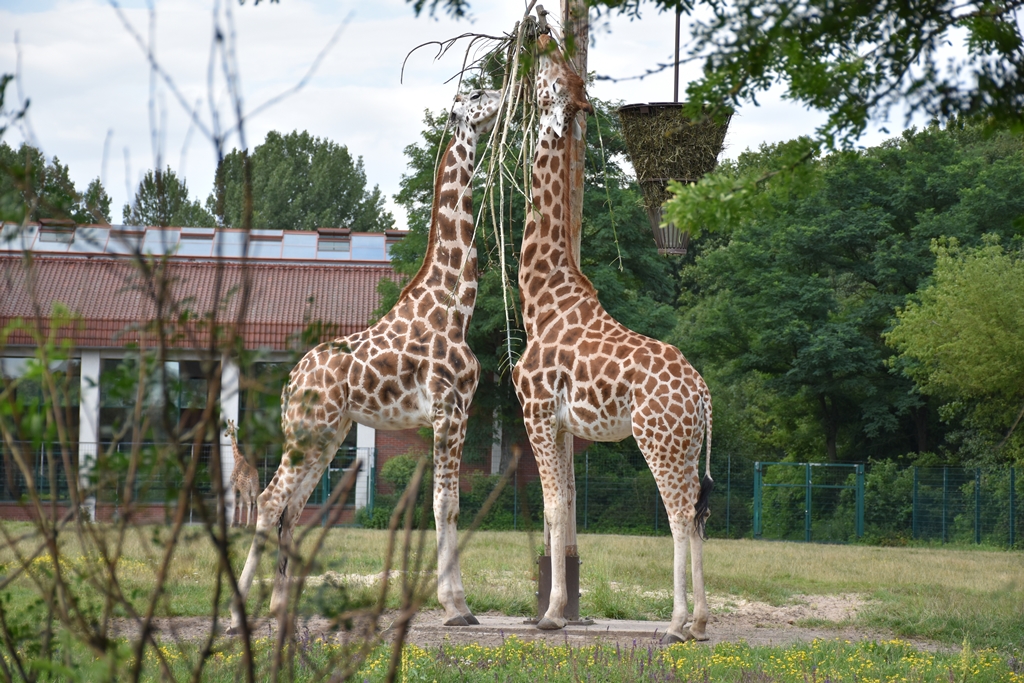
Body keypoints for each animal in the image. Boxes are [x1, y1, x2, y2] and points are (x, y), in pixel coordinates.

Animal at [228, 89, 502, 635]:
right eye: (477, 95)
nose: (506, 94)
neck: (455, 308)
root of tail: (290, 382)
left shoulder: (457, 412)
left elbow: (449, 504)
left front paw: (457, 604)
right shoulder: (448, 410)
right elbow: (445, 503)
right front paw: (456, 607)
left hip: (325, 435)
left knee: (291, 506)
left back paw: (282, 610)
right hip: (310, 432)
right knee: (270, 500)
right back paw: (236, 613)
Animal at [511, 35, 715, 643]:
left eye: (555, 73)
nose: (538, 35)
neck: (541, 299)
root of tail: (703, 397)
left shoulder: (535, 410)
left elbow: (555, 508)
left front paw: (550, 614)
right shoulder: (562, 422)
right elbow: (564, 508)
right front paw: (555, 610)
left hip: (659, 440)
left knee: (678, 516)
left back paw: (676, 623)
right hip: (686, 445)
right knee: (698, 515)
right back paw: (700, 623)